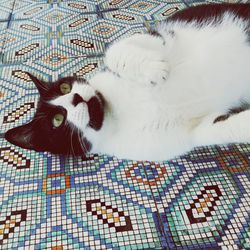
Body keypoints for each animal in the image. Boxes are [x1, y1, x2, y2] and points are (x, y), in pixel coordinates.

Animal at [3, 3, 250, 161]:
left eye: (65, 86)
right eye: (57, 121)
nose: (74, 97)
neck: (118, 113)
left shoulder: (158, 37)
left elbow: (115, 51)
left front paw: (153, 69)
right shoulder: (183, 136)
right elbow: (217, 130)